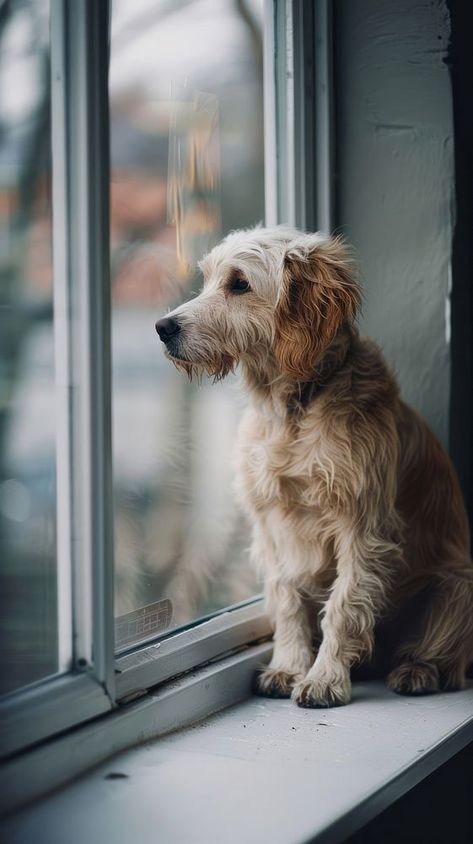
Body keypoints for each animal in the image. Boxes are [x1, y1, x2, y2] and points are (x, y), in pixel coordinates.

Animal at [156, 226, 472, 704]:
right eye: (208, 279)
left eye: (239, 284)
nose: (162, 327)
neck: (292, 410)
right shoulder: (273, 526)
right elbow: (287, 601)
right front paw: (289, 667)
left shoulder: (362, 527)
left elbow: (343, 607)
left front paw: (324, 678)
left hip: (456, 587)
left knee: (444, 658)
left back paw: (417, 670)